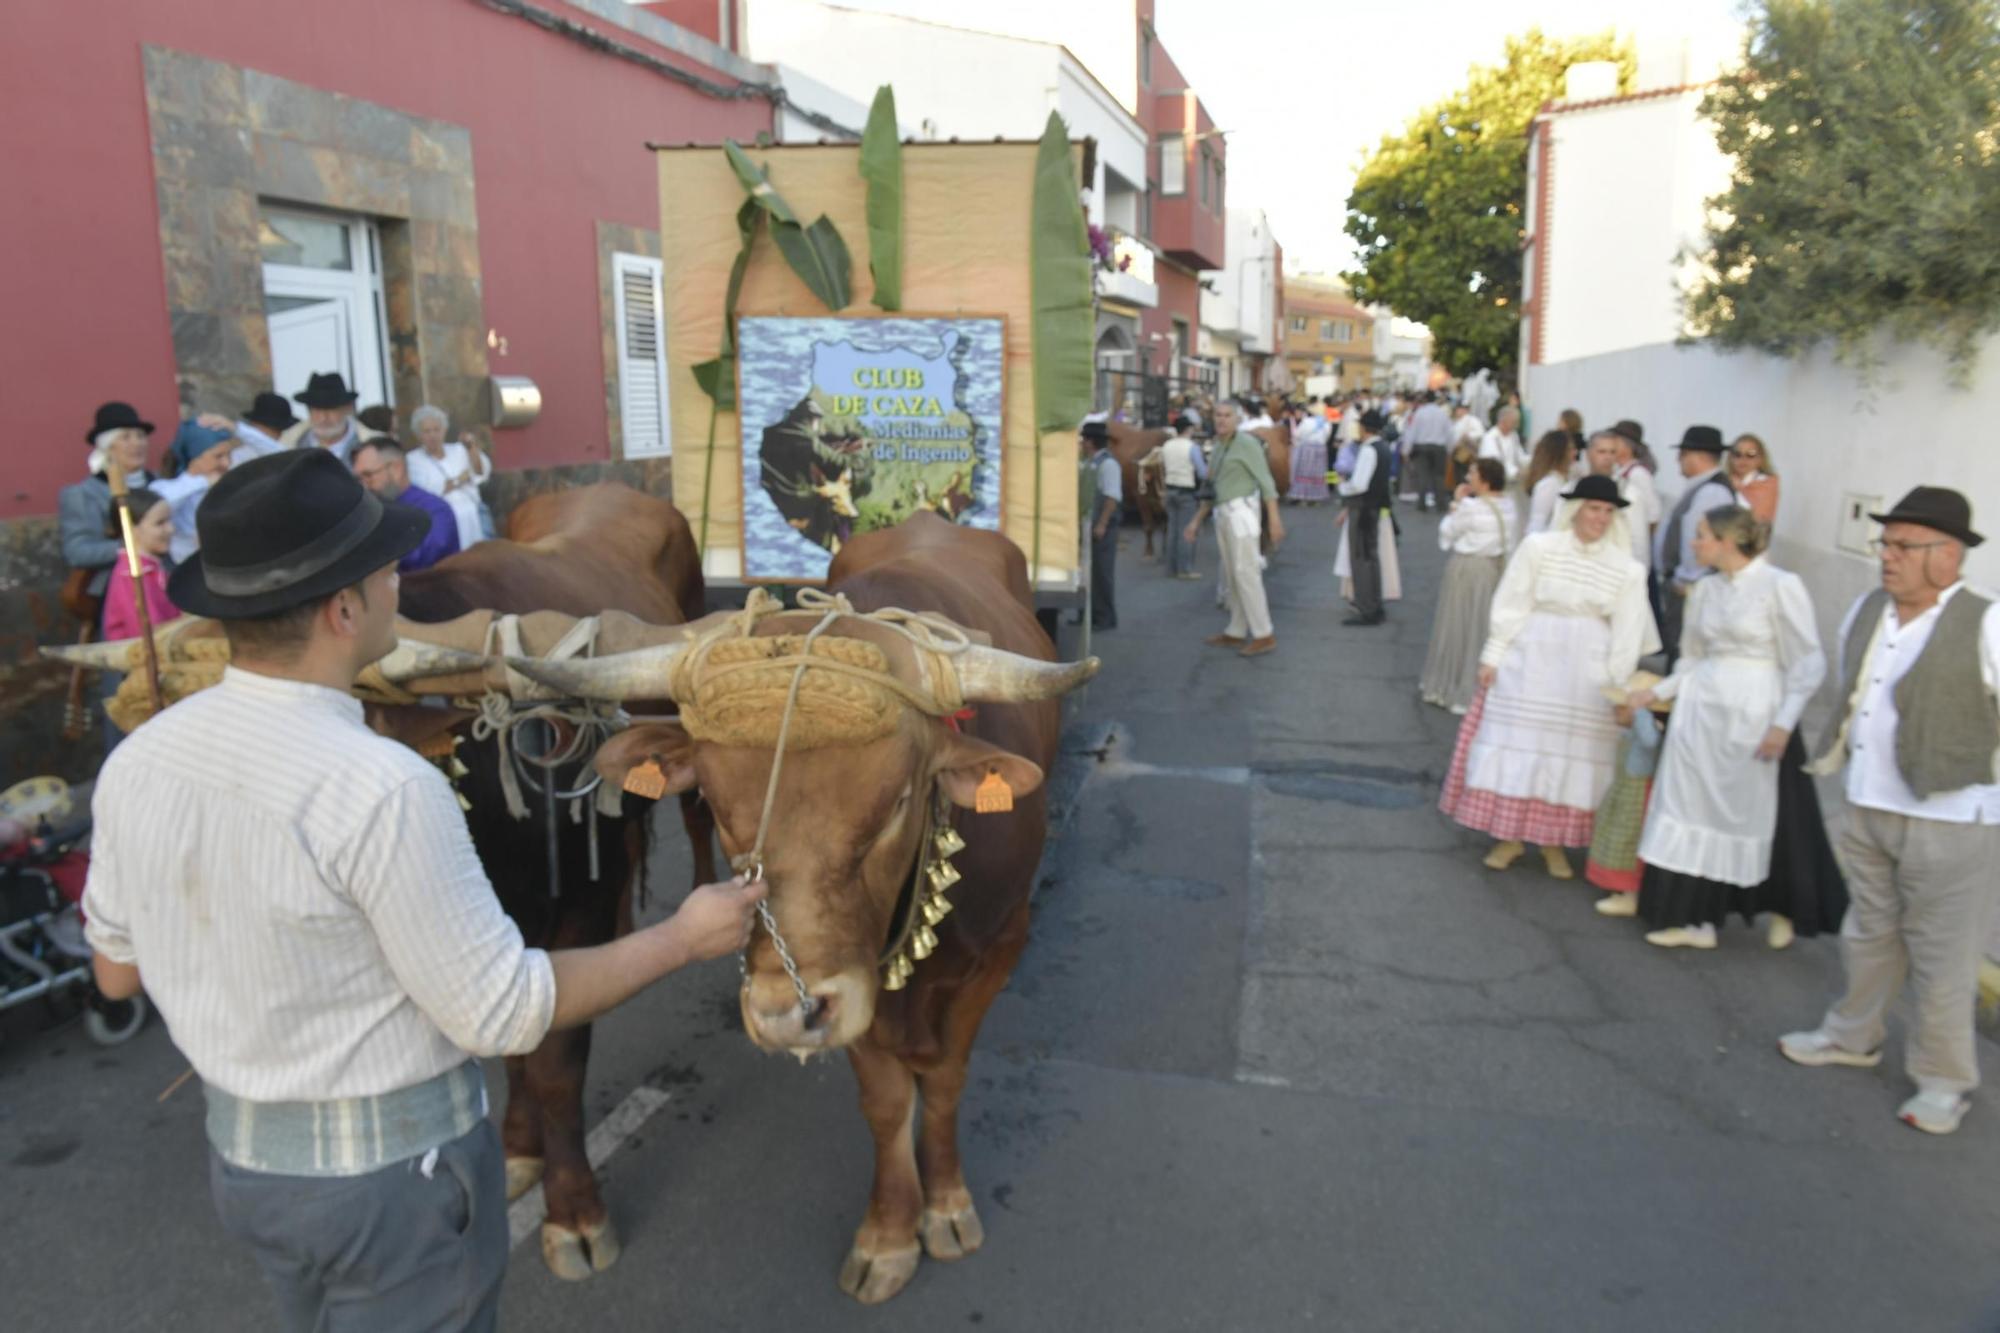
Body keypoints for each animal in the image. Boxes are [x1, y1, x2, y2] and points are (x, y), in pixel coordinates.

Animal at [394, 480, 716, 1280]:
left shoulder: (572, 911)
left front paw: (574, 1213)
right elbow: (513, 1043)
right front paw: (518, 1149)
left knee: (698, 818)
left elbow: (556, 1062)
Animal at [516, 512, 1104, 1304]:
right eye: (717, 801)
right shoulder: (854, 986)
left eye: (897, 802)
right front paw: (889, 1234)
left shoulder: (1000, 948)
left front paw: (946, 1207)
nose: (786, 1014)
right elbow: (886, 1099)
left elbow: (945, 1079)